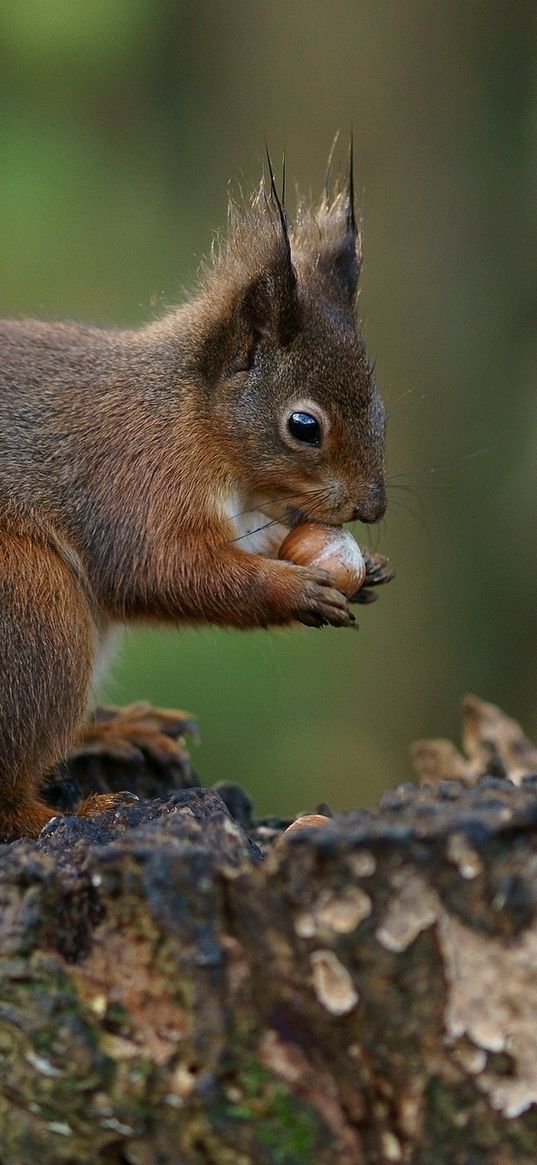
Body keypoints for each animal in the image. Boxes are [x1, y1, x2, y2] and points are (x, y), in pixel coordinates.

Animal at [0, 157, 384, 848]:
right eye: (304, 426)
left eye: (380, 405)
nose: (374, 508)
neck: (192, 417)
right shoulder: (131, 476)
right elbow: (163, 569)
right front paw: (294, 590)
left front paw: (367, 575)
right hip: (32, 602)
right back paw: (70, 814)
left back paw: (115, 728)